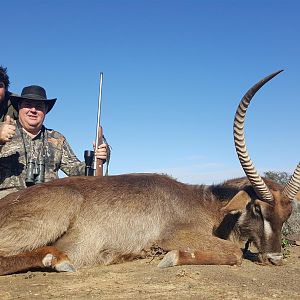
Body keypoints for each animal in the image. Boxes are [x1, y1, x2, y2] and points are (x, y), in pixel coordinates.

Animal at [0, 71, 298, 276]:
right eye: (258, 209)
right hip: (63, 204)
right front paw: (170, 257)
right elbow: (235, 252)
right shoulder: (172, 235)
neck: (207, 204)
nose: (275, 259)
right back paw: (57, 259)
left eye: (287, 214)